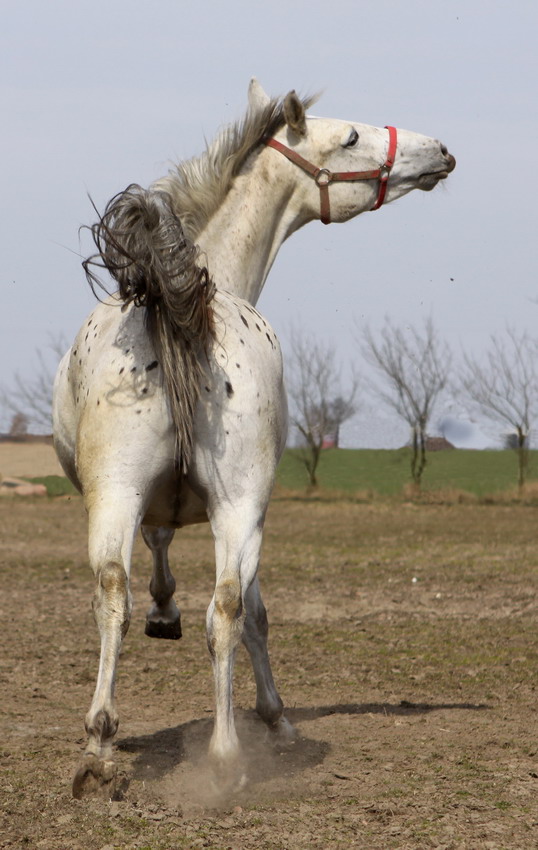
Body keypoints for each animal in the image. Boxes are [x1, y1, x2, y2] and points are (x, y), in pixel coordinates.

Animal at [52, 78, 452, 796]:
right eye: (350, 136)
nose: (438, 150)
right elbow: (248, 608)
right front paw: (273, 714)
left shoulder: (187, 505)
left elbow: (189, 573)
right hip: (228, 506)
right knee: (211, 607)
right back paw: (203, 750)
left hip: (153, 497)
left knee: (132, 597)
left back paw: (125, 745)